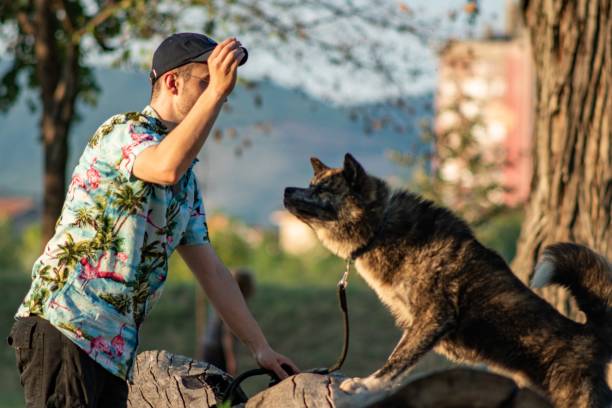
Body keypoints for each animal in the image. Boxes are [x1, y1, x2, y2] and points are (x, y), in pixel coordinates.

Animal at [284, 154, 612, 408]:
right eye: (311, 184)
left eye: (323, 189)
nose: (287, 190)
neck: (380, 226)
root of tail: (589, 334)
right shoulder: (421, 327)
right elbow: (403, 361)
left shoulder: (433, 317)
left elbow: (396, 361)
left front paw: (366, 385)